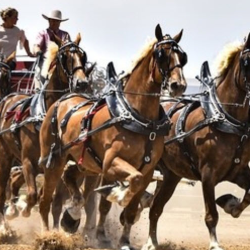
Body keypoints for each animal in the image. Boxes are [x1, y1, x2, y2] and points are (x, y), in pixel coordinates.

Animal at [0, 33, 90, 234]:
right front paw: (22, 209)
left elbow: (47, 199)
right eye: (65, 57)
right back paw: (5, 224)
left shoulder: (55, 165)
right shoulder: (27, 162)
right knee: (3, 189)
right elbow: (34, 195)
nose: (82, 83)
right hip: (6, 156)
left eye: (83, 57)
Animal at [38, 23, 188, 248]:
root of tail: (62, 100)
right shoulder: (111, 163)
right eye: (161, 54)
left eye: (183, 56)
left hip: (85, 163)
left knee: (70, 178)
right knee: (45, 200)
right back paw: (47, 236)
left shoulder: (148, 171)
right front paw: (117, 194)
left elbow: (132, 205)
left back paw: (71, 216)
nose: (178, 85)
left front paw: (124, 239)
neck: (139, 117)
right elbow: (125, 188)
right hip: (54, 160)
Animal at [143, 33, 250, 250]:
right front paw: (215, 244)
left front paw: (231, 205)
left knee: (155, 208)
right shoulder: (208, 174)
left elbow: (249, 195)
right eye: (247, 61)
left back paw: (152, 242)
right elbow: (211, 215)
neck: (226, 119)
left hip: (171, 176)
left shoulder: (239, 171)